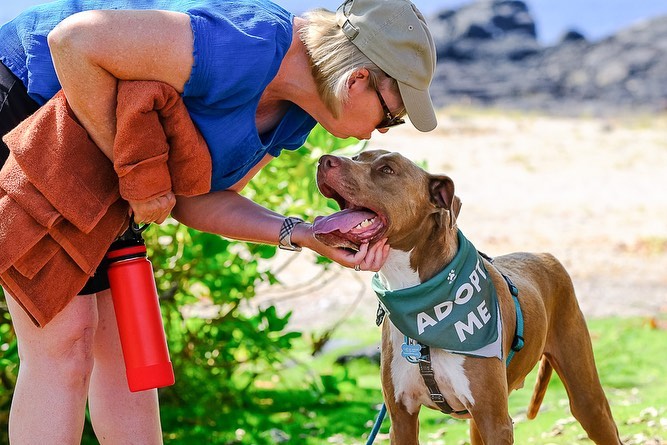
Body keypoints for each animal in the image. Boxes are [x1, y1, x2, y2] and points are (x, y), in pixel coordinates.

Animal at [314, 150, 620, 444]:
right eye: (357, 158)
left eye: (387, 169)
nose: (324, 160)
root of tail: (544, 255)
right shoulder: (402, 420)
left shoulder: (495, 422)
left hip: (587, 400)